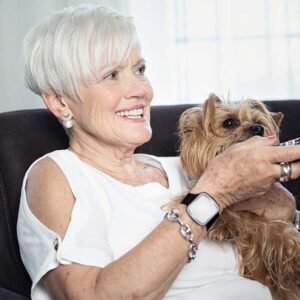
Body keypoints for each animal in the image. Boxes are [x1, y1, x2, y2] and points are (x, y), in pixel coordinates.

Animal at [172, 95, 298, 300]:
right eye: (229, 123)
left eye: (259, 122)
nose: (258, 129)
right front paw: (223, 224)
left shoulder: (271, 224)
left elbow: (286, 238)